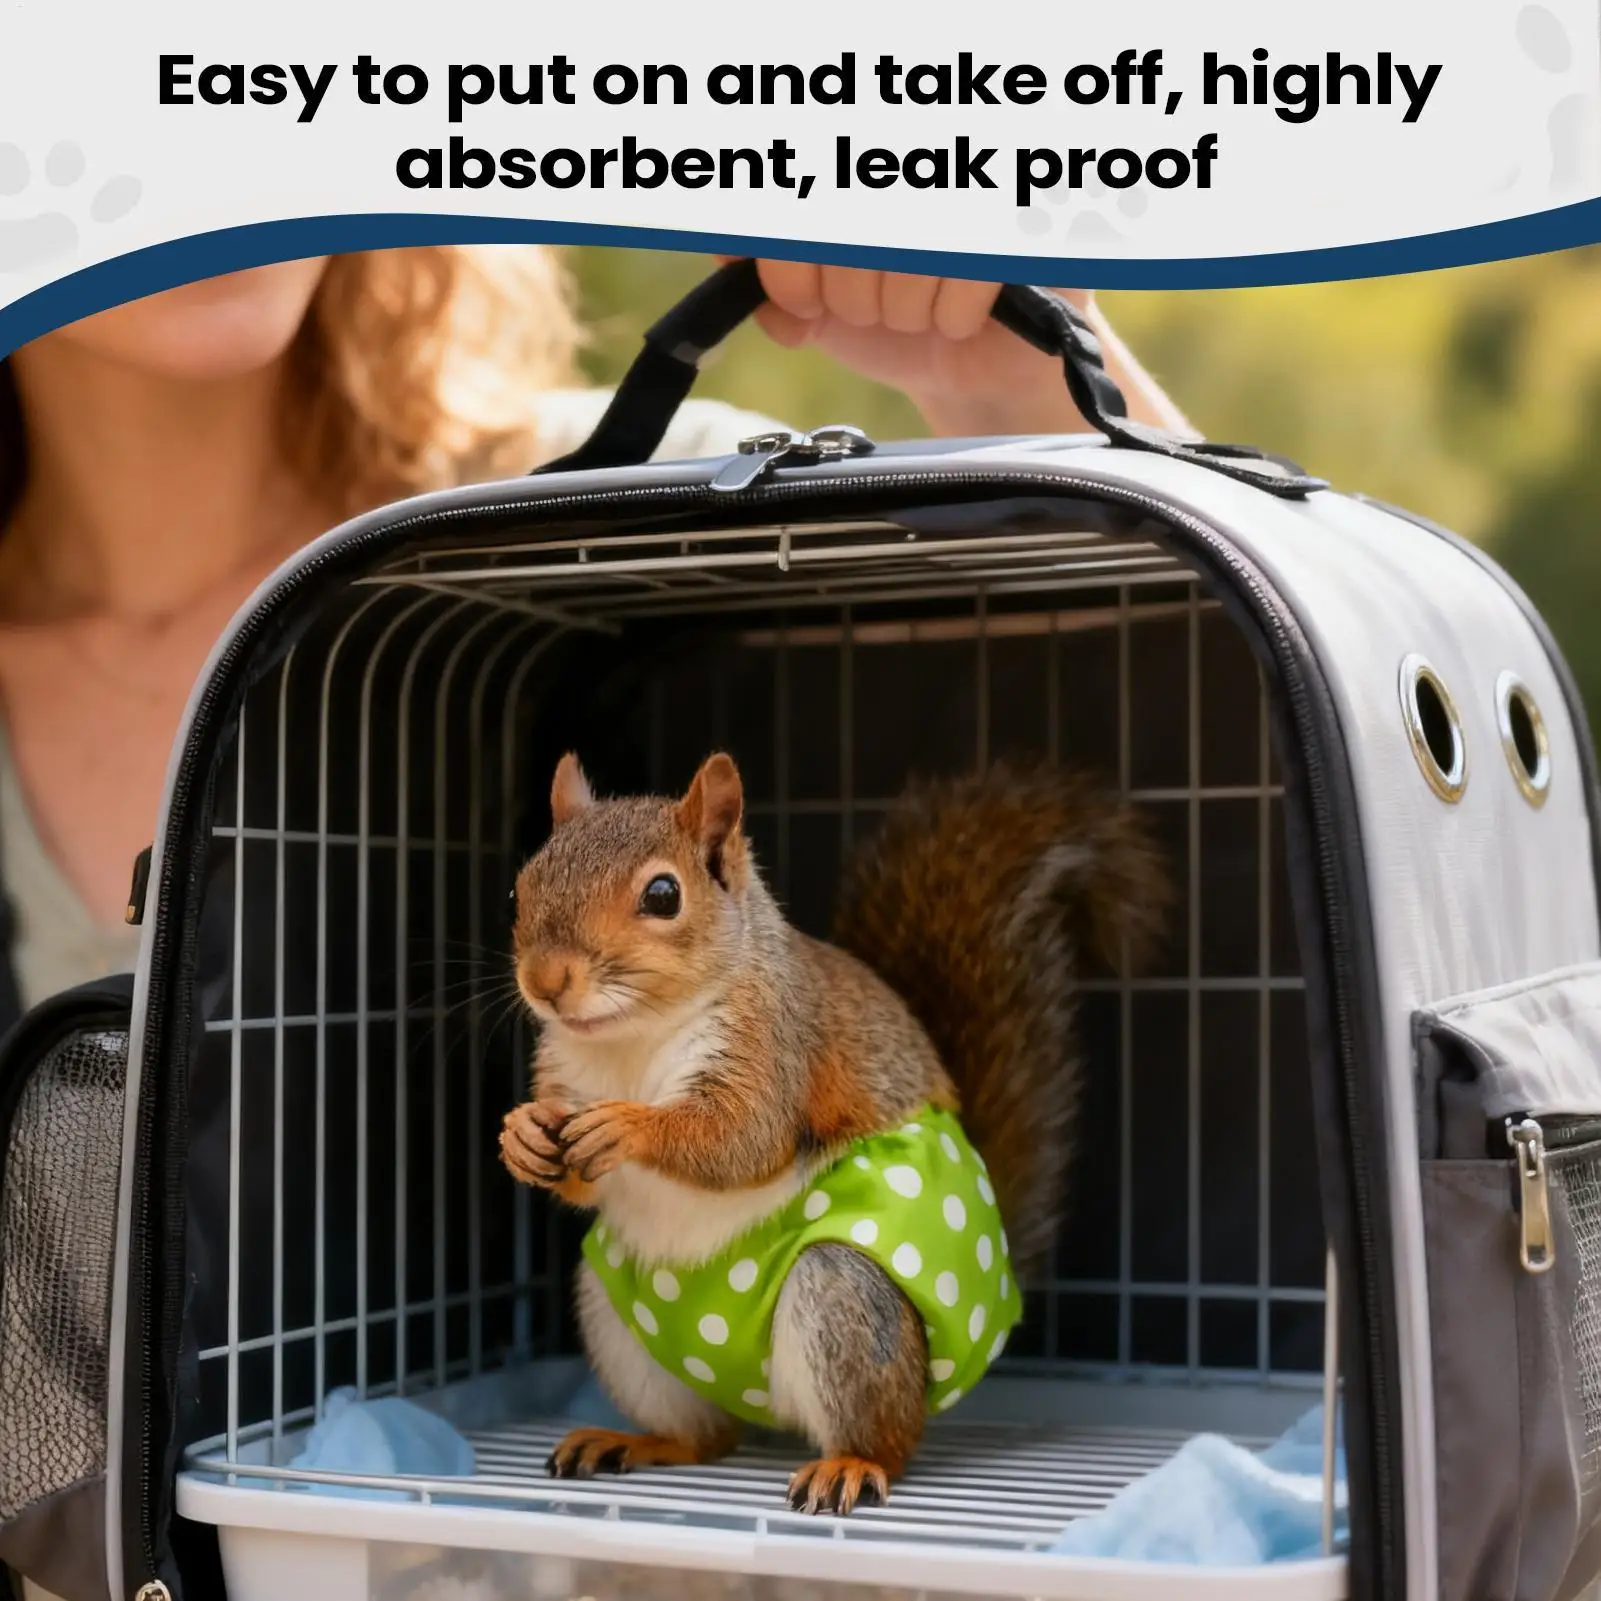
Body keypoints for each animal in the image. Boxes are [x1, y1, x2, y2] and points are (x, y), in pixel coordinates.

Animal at [499, 751, 1168, 1515]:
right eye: (518, 888)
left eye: (663, 895)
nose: (545, 980)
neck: (629, 1041)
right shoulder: (563, 1074)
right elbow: (579, 1178)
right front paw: (520, 1136)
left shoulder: (775, 1048)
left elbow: (740, 1139)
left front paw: (628, 1126)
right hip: (624, 1324)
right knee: (708, 1438)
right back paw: (639, 1442)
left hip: (844, 1300)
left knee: (887, 1437)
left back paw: (849, 1462)